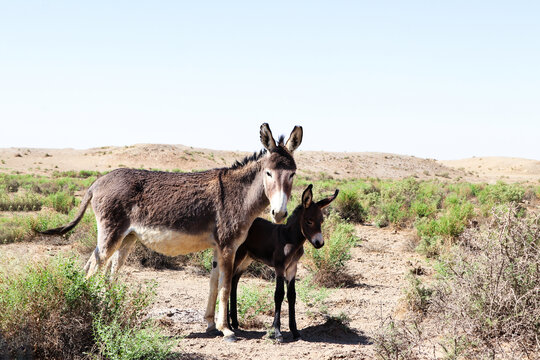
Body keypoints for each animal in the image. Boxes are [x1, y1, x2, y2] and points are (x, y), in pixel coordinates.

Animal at [228, 184, 338, 342]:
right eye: (309, 221)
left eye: (321, 221)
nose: (320, 243)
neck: (289, 238)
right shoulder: (279, 267)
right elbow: (279, 294)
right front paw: (277, 332)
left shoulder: (292, 268)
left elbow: (292, 295)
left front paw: (295, 331)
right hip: (238, 256)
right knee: (227, 281)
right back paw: (228, 324)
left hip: (247, 258)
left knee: (234, 280)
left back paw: (235, 322)